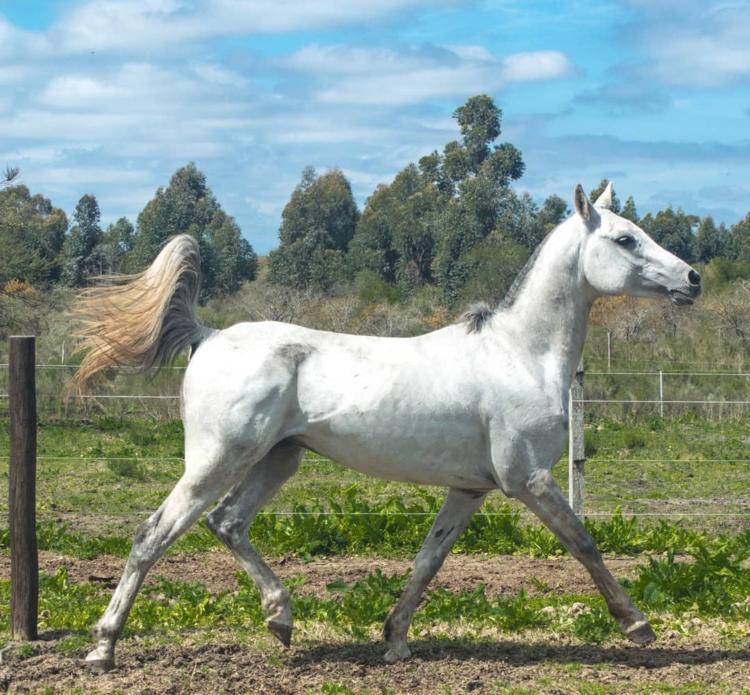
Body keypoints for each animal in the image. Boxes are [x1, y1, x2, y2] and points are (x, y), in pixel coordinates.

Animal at [73, 183, 701, 671]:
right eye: (625, 239)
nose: (692, 279)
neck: (520, 354)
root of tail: (207, 336)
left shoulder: (469, 489)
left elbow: (428, 561)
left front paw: (394, 639)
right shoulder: (531, 479)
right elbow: (584, 543)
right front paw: (638, 626)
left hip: (280, 458)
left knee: (227, 523)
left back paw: (281, 619)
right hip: (217, 460)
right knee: (152, 535)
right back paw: (103, 649)